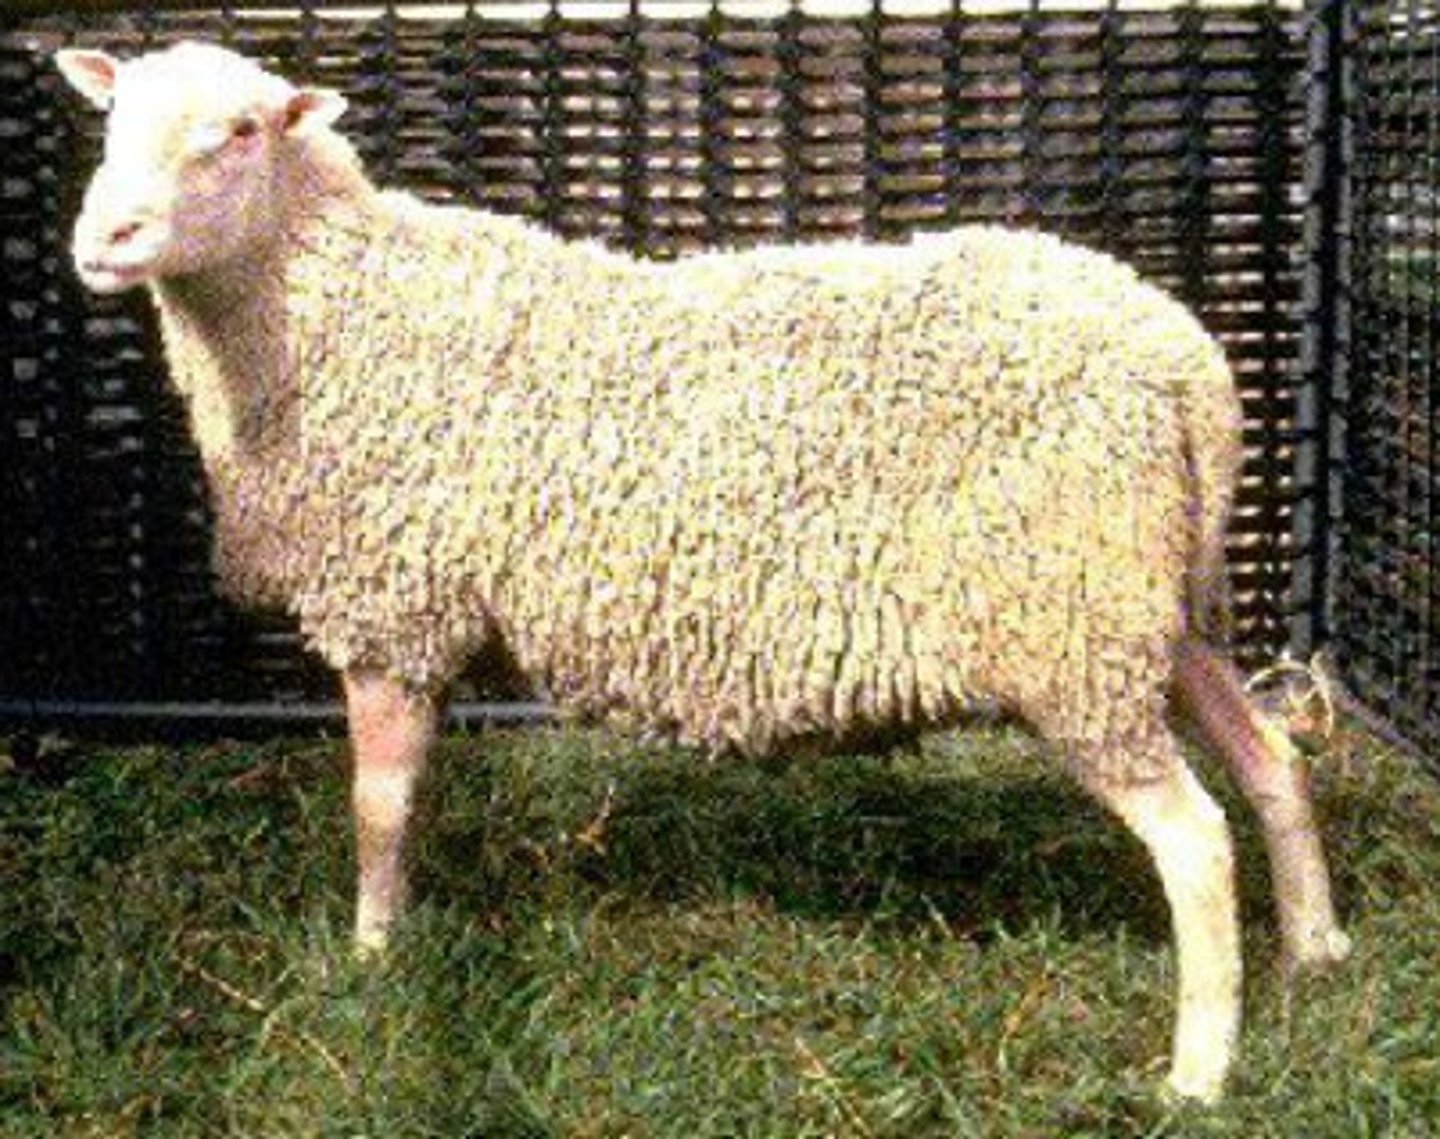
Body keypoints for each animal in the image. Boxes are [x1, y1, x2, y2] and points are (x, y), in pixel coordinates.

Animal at [55, 40, 1350, 1103]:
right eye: (111, 117)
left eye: (240, 131)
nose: (104, 239)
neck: (327, 318)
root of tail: (1185, 362)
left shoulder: (391, 604)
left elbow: (380, 805)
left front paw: (374, 957)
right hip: (1145, 609)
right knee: (1271, 758)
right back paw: (1317, 949)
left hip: (1068, 626)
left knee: (1194, 839)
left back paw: (1200, 1068)